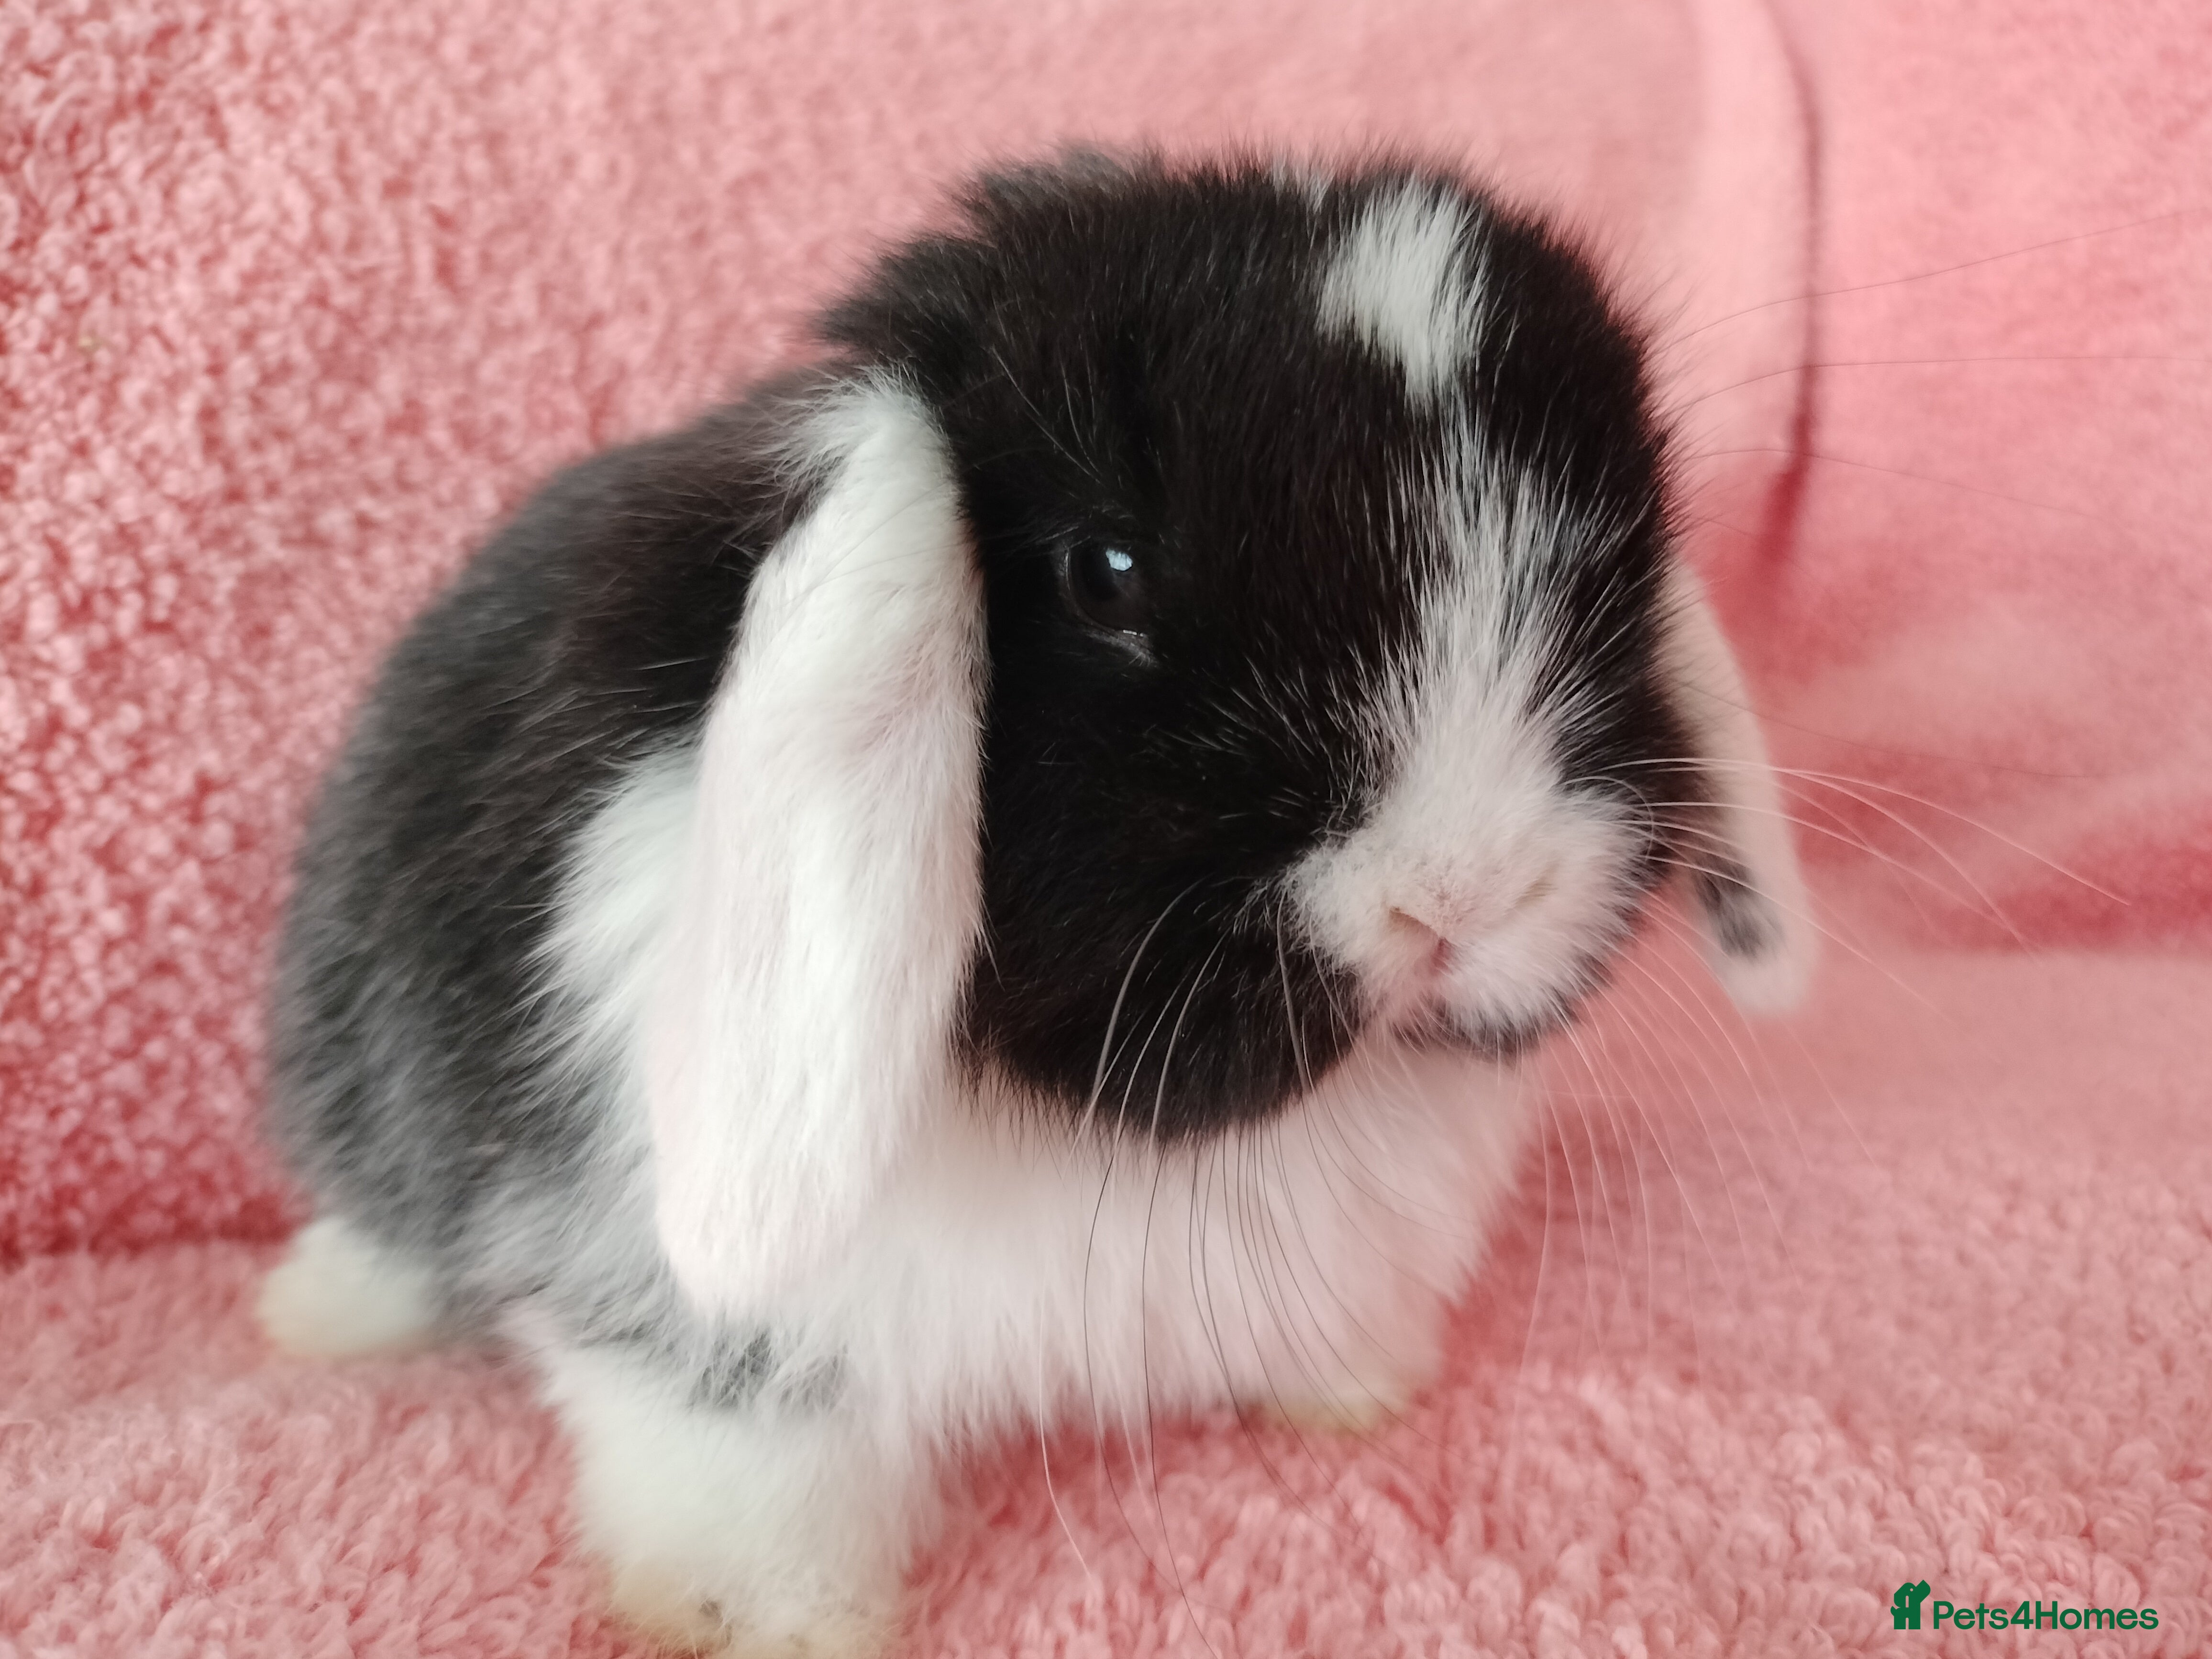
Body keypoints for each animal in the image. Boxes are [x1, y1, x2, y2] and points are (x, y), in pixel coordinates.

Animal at [255, 151, 1812, 1656]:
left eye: (1608, 577)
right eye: (1103, 572)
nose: (1460, 891)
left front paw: (1345, 1395)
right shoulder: (703, 1325)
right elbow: (745, 1454)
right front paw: (764, 1617)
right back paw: (316, 1312)